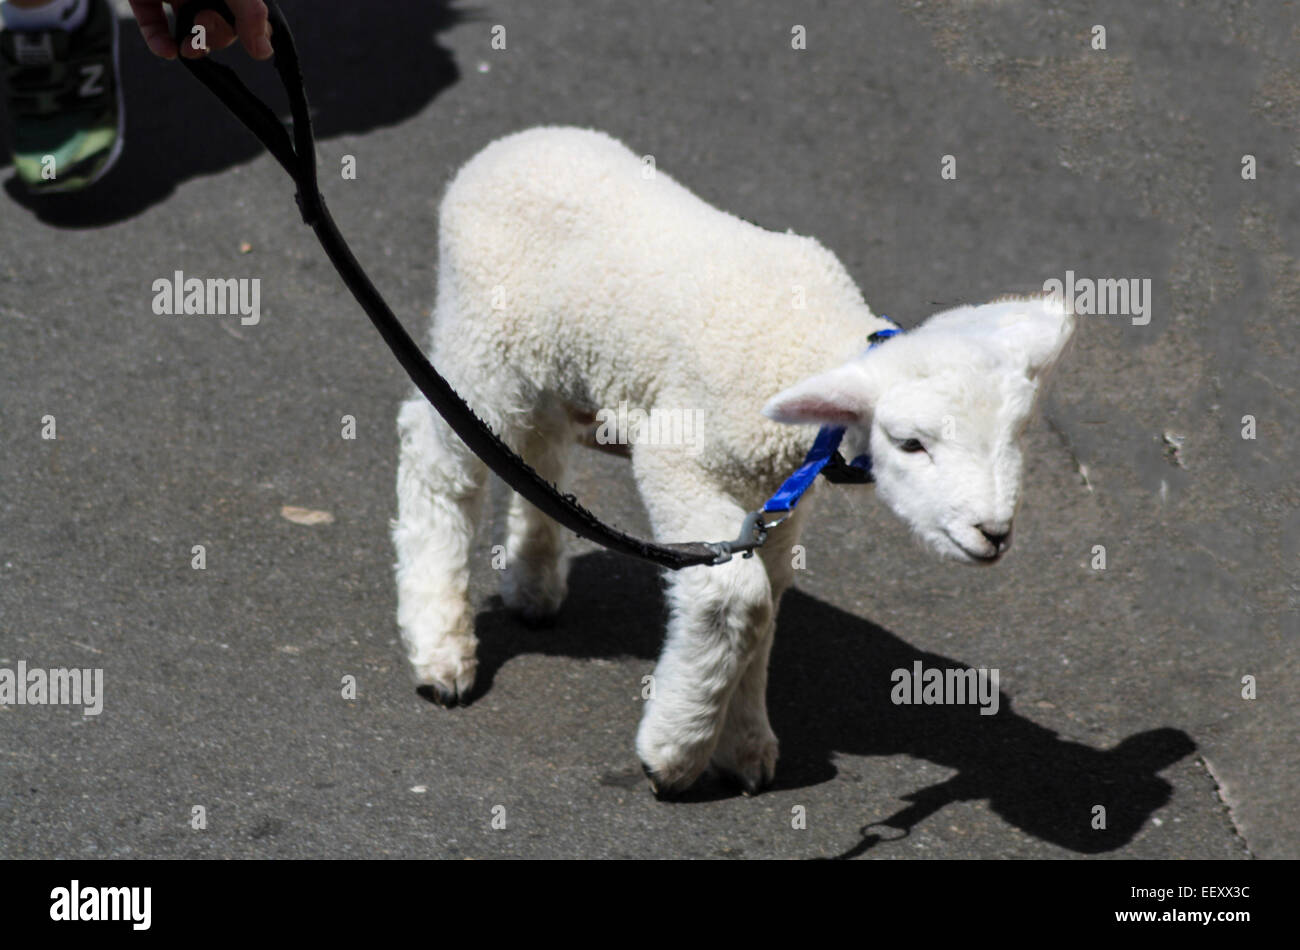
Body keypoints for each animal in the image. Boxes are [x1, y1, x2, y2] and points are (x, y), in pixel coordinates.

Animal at [387, 124, 1076, 795]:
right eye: (910, 443)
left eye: (1018, 433)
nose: (993, 533)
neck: (806, 347)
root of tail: (507, 147)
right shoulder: (680, 458)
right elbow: (737, 598)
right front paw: (677, 752)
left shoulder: (772, 498)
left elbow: (766, 605)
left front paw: (742, 744)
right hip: (482, 340)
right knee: (439, 461)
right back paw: (441, 646)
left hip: (553, 361)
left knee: (537, 448)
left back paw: (532, 583)